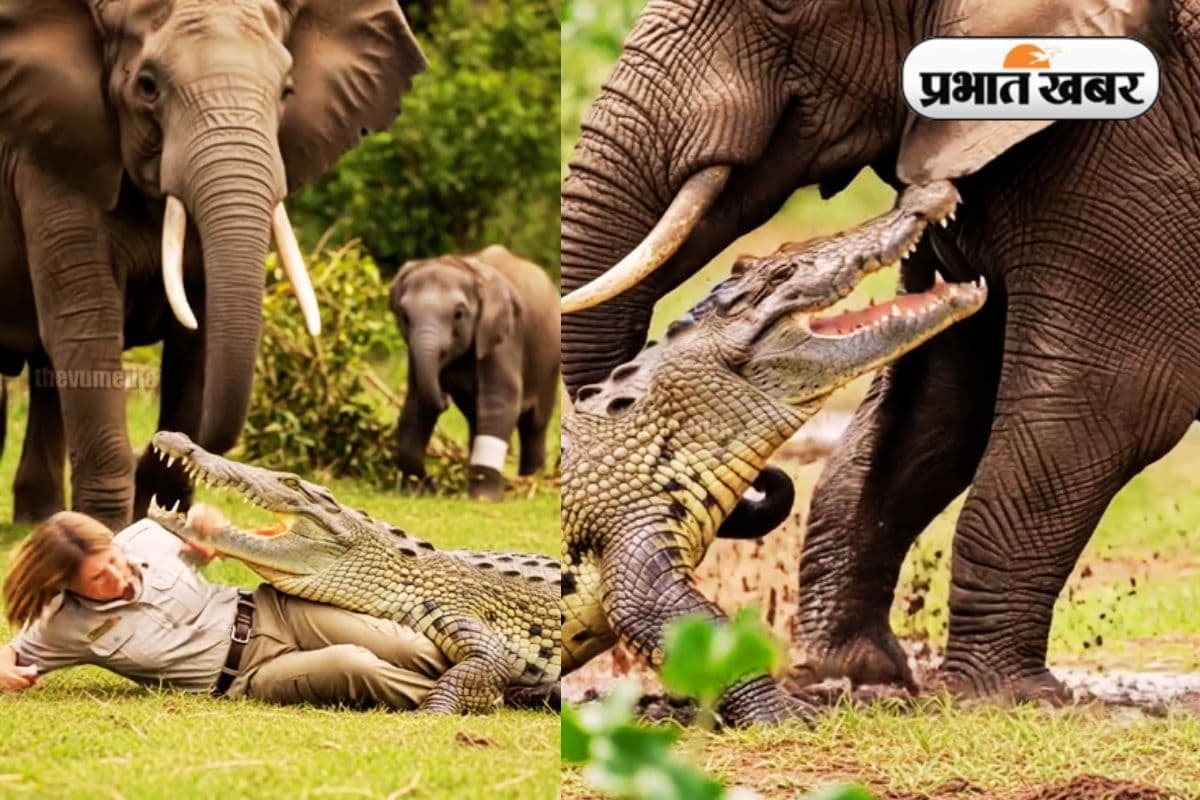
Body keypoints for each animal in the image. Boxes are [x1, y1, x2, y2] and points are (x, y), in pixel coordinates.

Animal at [0, 0, 426, 529]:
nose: (162, 447)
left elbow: (200, 341)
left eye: (287, 90)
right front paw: (107, 532)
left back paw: (36, 520)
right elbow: (86, 326)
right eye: (148, 86)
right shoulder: (55, 154)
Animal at [388, 245, 560, 501]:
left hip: (549, 362)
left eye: (458, 314)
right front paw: (422, 489)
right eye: (405, 316)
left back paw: (530, 481)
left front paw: (483, 499)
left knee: (535, 423)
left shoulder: (504, 336)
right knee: (476, 419)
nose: (444, 399)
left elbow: (500, 402)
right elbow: (417, 403)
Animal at [560, 0, 1200, 701]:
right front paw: (851, 675)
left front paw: (1001, 698)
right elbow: (934, 398)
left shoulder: (1138, 147)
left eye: (783, 6)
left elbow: (1111, 396)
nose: (928, 197)